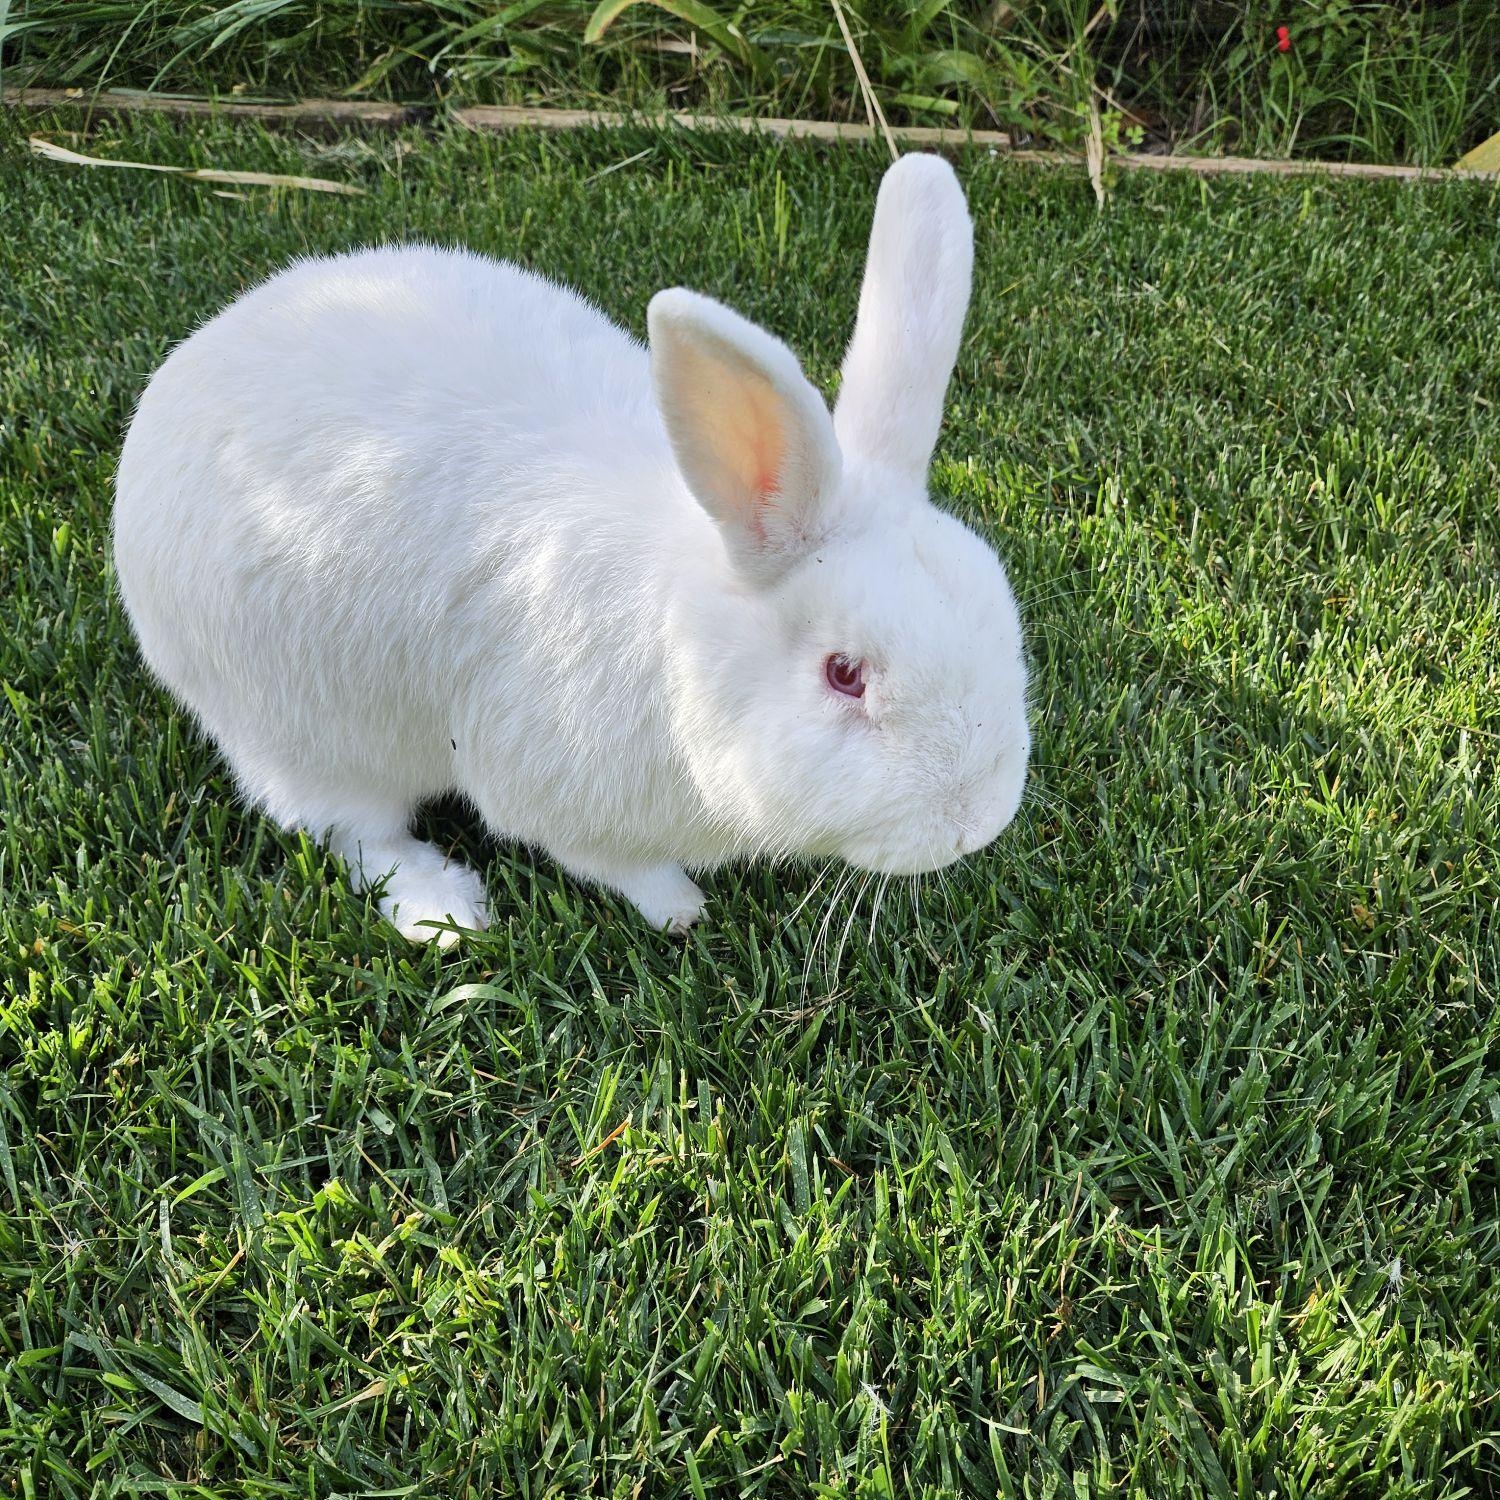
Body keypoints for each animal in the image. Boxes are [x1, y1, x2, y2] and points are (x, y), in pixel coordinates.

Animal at [113, 153, 1030, 945]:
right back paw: (444, 910)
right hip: (300, 731)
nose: (976, 824)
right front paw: (679, 908)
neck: (684, 642)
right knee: (354, 832)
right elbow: (607, 861)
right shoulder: (546, 786)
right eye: (844, 674)